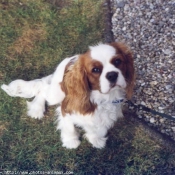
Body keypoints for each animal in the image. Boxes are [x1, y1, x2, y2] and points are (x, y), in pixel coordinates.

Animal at [1, 42, 135, 149]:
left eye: (118, 61)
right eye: (95, 70)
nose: (112, 75)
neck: (102, 98)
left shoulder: (107, 115)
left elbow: (97, 129)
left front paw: (95, 139)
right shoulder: (66, 109)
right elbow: (69, 127)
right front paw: (71, 141)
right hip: (56, 94)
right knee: (43, 88)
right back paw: (37, 109)